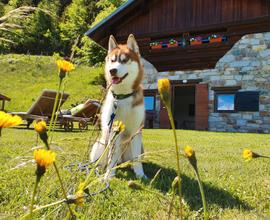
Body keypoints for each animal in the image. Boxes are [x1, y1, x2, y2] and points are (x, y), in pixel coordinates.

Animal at [89, 34, 147, 179]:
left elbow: (137, 158)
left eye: (124, 60)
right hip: (100, 143)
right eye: (112, 60)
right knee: (102, 160)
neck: (123, 96)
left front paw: (140, 174)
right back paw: (99, 169)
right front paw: (109, 175)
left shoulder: (136, 131)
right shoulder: (114, 130)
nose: (112, 70)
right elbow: (112, 157)